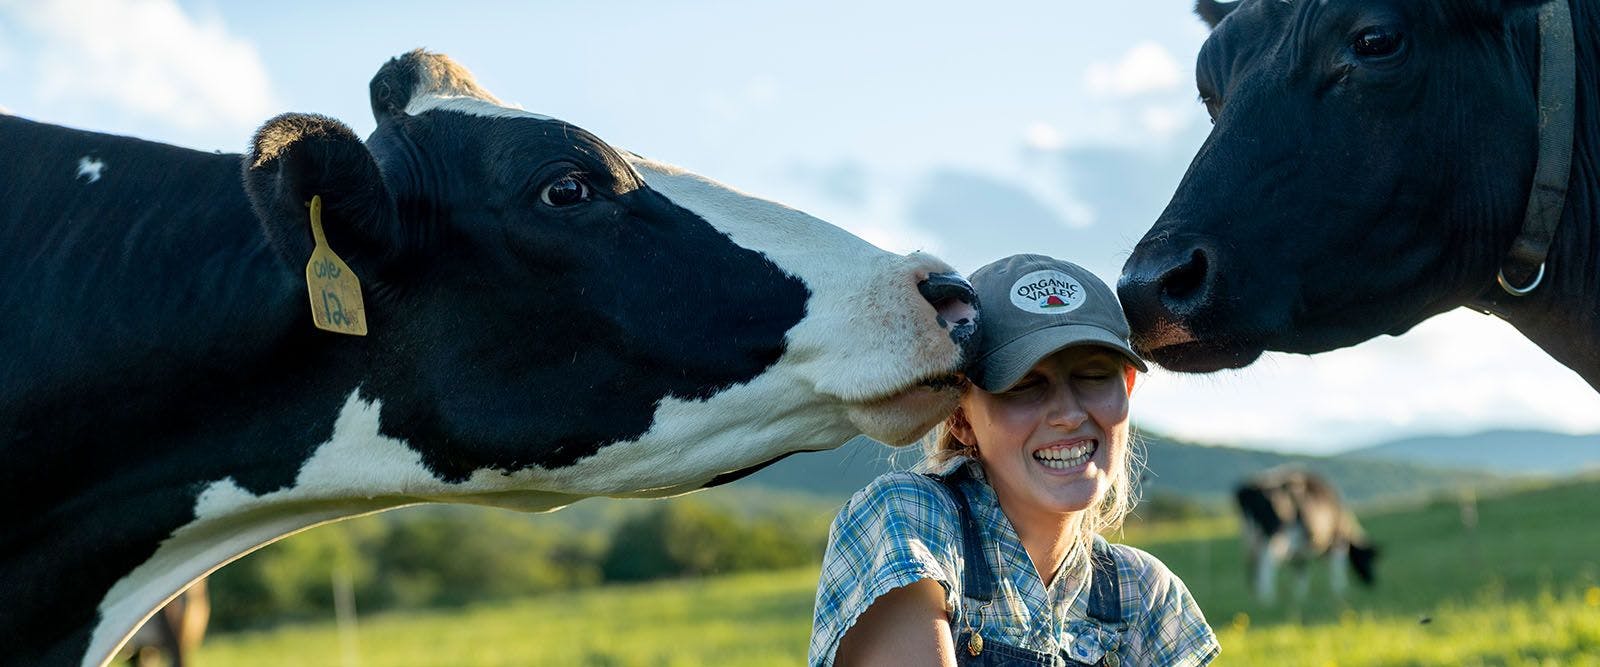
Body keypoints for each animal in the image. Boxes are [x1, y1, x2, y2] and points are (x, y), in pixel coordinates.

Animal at [1228, 467, 1382, 601]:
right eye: (1369, 558)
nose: (1372, 582)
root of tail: (1248, 488)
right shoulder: (1338, 541)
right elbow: (1338, 567)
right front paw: (1340, 590)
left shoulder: (1300, 548)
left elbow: (1301, 569)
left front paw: (1300, 596)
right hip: (1274, 536)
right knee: (1267, 563)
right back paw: (1267, 598)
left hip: (1251, 538)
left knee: (1253, 565)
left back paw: (1255, 596)